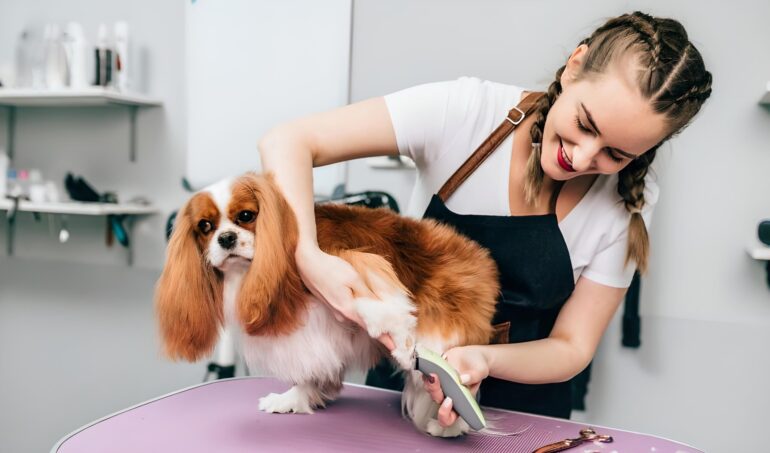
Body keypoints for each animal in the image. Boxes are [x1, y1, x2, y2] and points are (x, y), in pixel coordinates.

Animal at [154, 171, 498, 436]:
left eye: (246, 216)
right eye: (204, 227)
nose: (225, 238)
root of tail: (476, 256)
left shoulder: (347, 260)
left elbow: (376, 302)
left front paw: (396, 338)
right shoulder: (313, 335)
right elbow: (312, 367)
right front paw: (295, 398)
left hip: (442, 327)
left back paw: (450, 426)